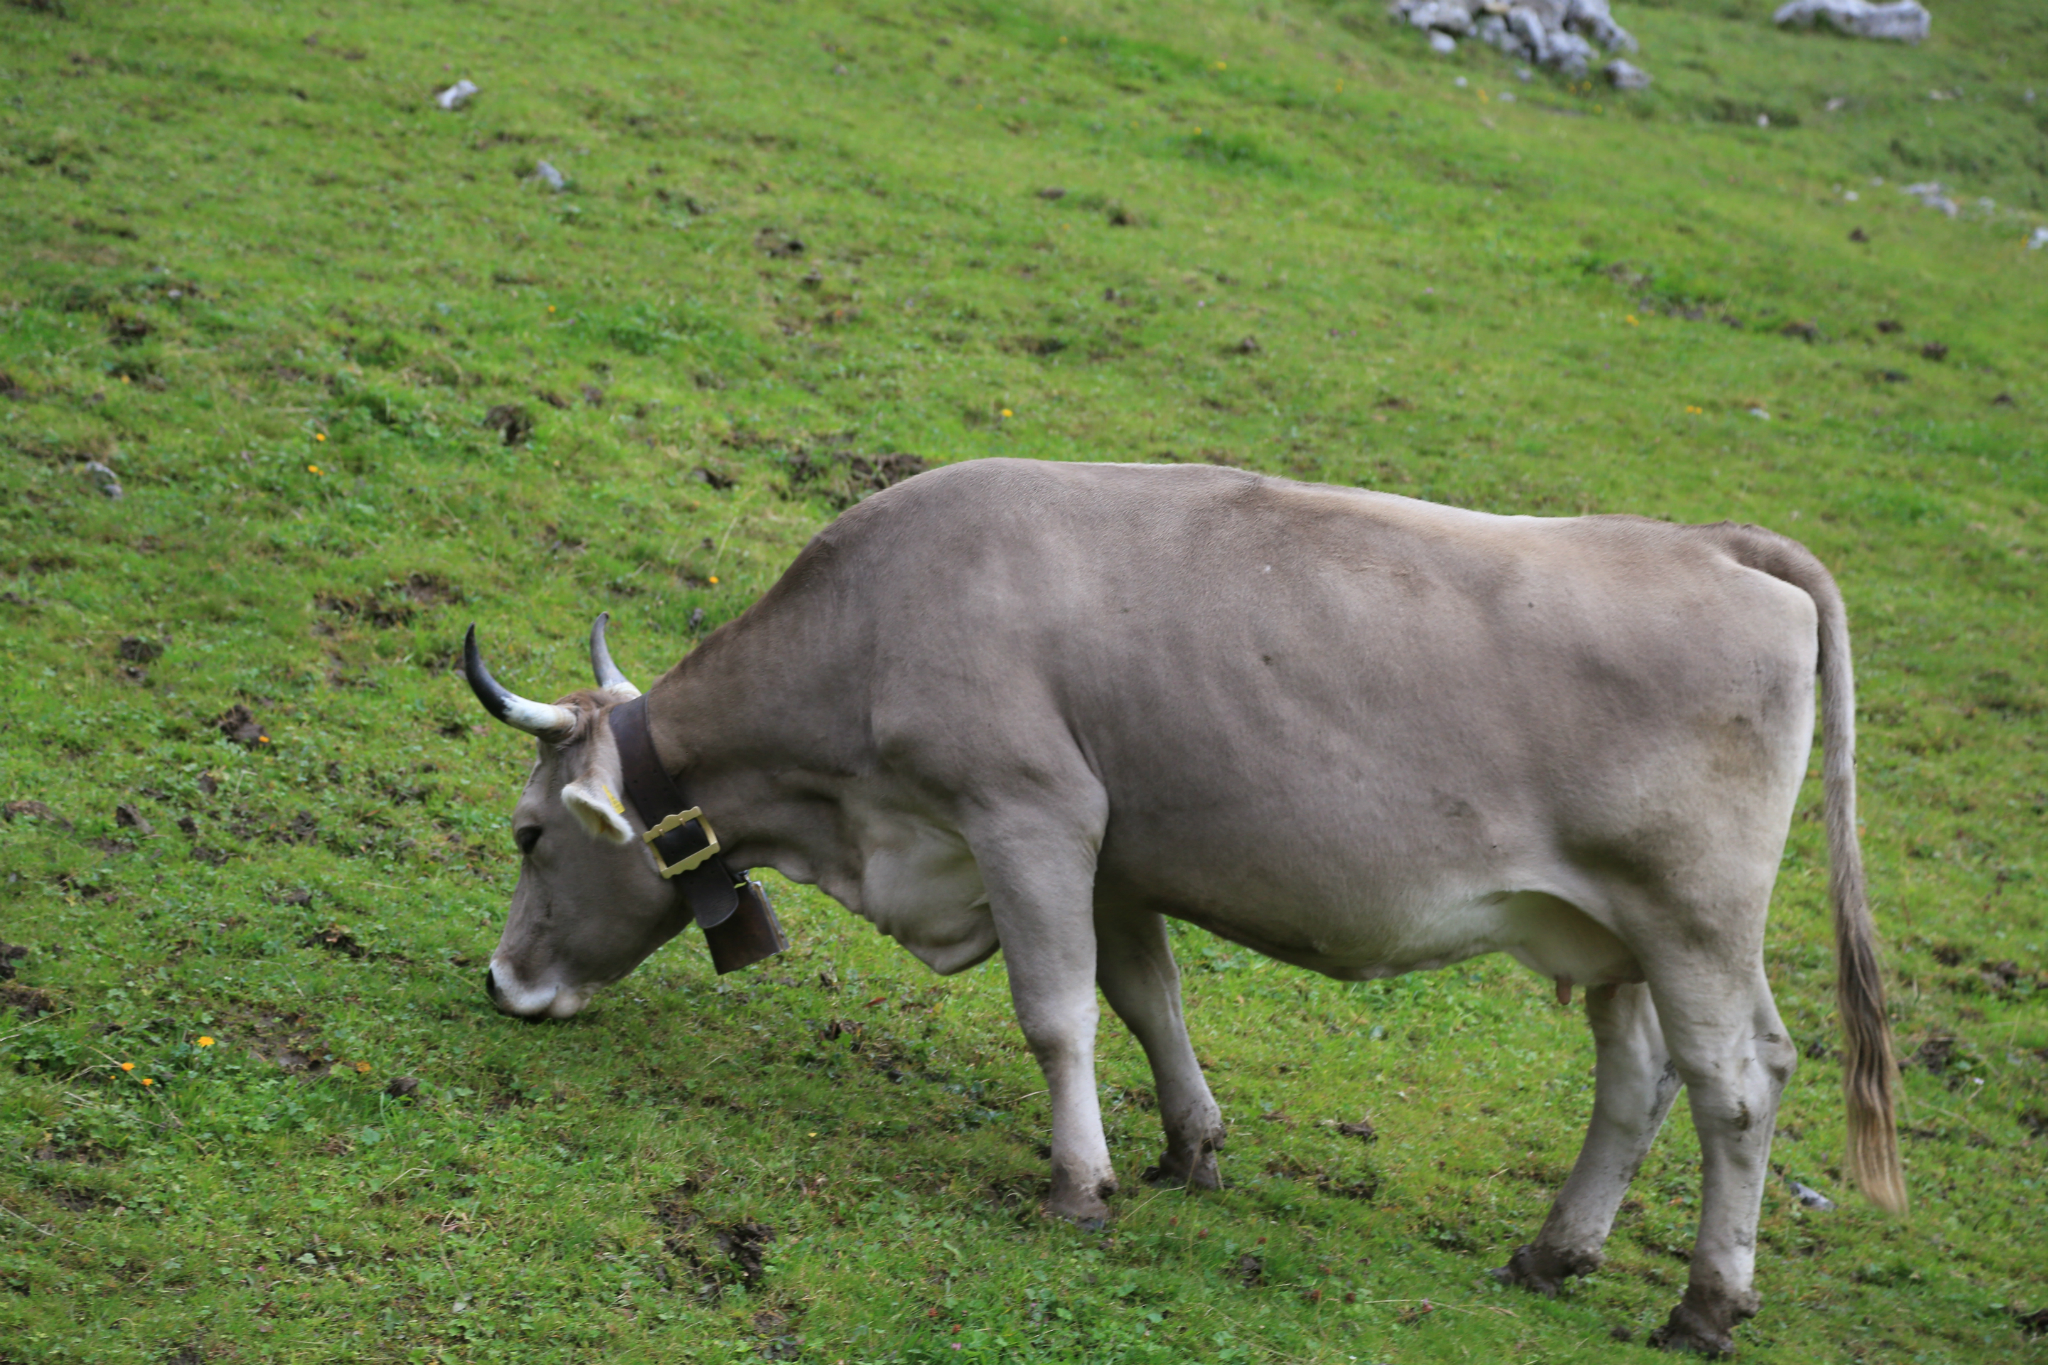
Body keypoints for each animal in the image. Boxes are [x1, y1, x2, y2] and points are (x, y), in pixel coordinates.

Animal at [464, 456, 1900, 1358]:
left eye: (529, 835)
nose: (502, 981)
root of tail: (1716, 544)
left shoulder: (1030, 813)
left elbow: (1056, 1014)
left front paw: (1079, 1186)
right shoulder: (1114, 856)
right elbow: (1144, 999)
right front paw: (1187, 1148)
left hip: (1694, 916)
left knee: (1737, 1083)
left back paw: (1704, 1305)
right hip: (1611, 934)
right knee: (1638, 1074)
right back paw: (1554, 1251)